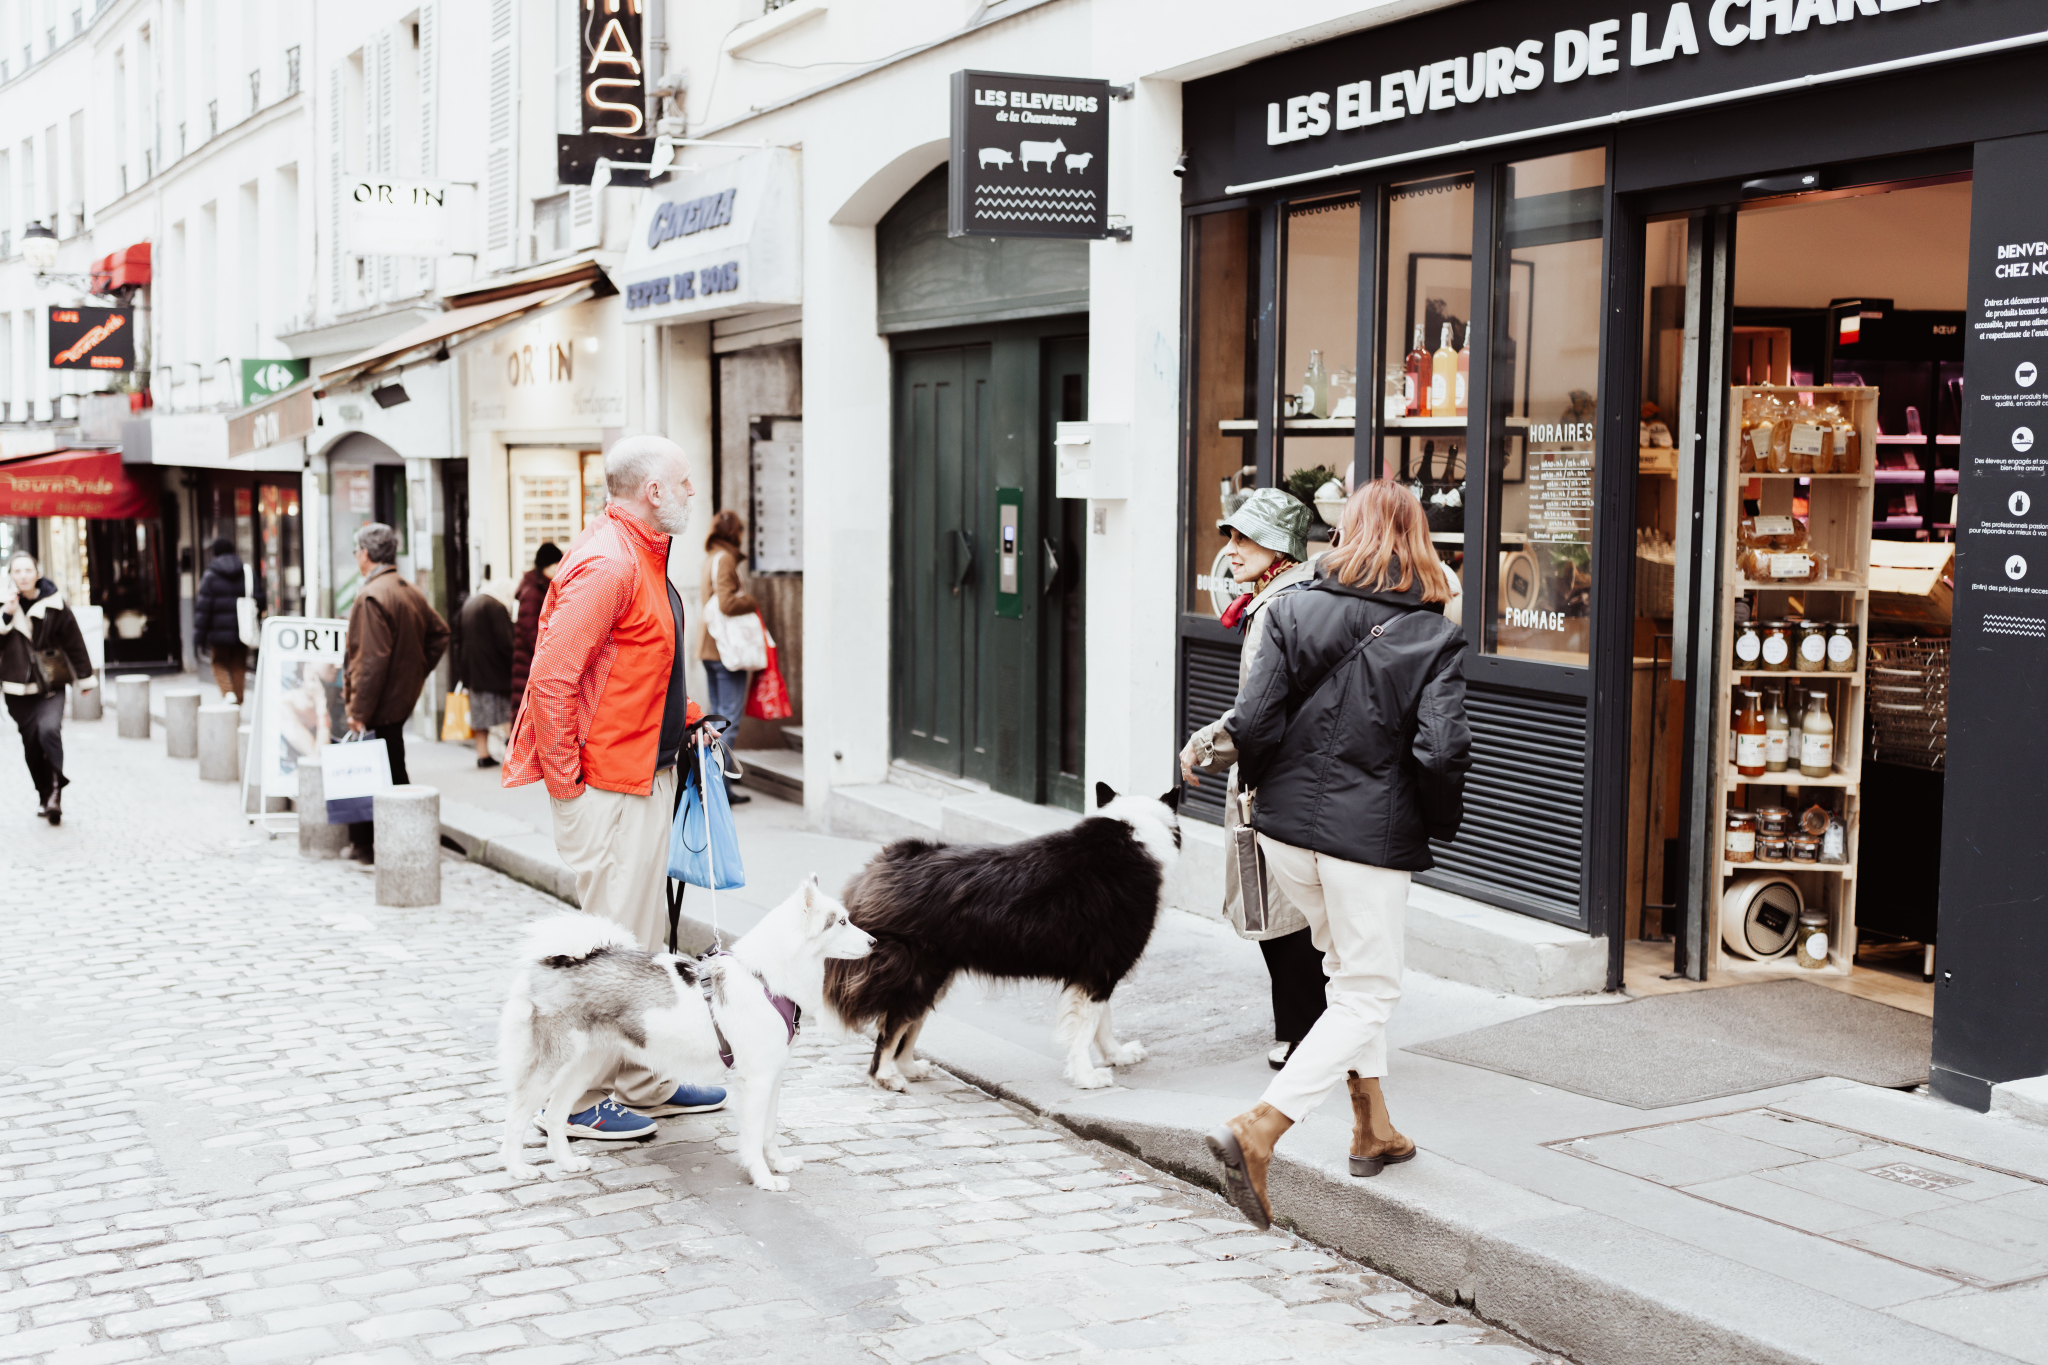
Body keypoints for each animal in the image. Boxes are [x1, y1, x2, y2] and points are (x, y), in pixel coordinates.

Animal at [505, 879, 880, 1186]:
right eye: (841, 922)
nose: (875, 942)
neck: (765, 979)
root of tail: (564, 961)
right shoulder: (756, 1081)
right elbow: (753, 1137)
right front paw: (763, 1178)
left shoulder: (773, 1077)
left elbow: (770, 1132)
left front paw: (779, 1164)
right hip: (550, 1067)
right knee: (517, 1115)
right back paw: (517, 1169)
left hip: (585, 1067)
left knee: (555, 1115)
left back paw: (567, 1164)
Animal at [819, 785, 1179, 1096]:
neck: (1130, 831)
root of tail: (884, 863)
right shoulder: (1101, 968)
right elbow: (1086, 1030)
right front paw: (1087, 1077)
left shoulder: (1096, 969)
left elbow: (1102, 1023)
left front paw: (1117, 1056)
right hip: (920, 974)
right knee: (891, 1028)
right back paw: (886, 1077)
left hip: (934, 975)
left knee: (907, 1025)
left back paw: (908, 1068)